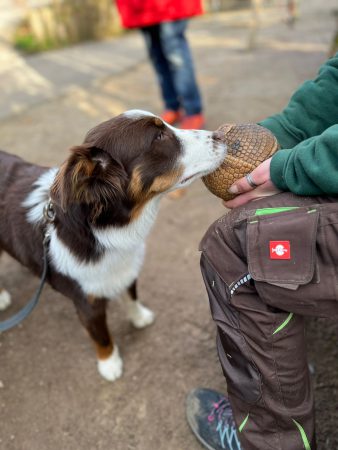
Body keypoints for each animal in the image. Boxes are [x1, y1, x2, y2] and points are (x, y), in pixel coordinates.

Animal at [0, 110, 227, 382]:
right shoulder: (86, 303)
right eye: (158, 137)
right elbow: (102, 337)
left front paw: (139, 317)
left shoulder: (125, 269)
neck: (103, 231)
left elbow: (131, 293)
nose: (223, 135)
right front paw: (109, 364)